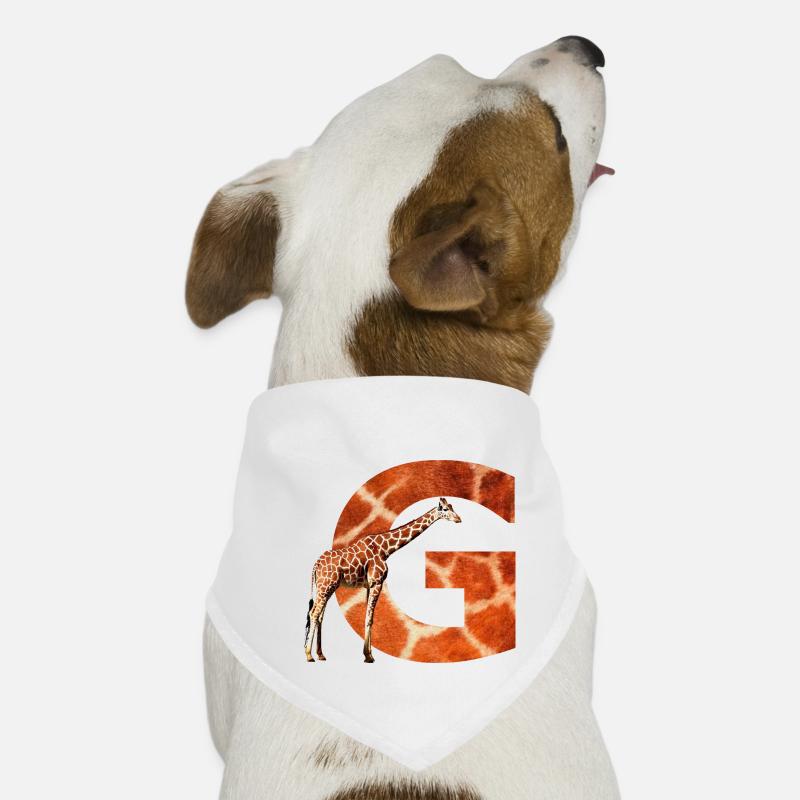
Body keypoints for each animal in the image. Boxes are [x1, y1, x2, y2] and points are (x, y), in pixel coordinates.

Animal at [305, 497, 461, 663]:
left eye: (451, 506)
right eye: (445, 509)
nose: (459, 519)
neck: (385, 548)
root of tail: (316, 564)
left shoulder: (369, 585)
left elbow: (367, 617)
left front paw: (368, 654)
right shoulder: (377, 582)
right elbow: (370, 618)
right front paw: (368, 656)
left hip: (325, 587)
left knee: (319, 615)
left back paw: (321, 654)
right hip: (326, 586)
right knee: (314, 613)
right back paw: (309, 655)